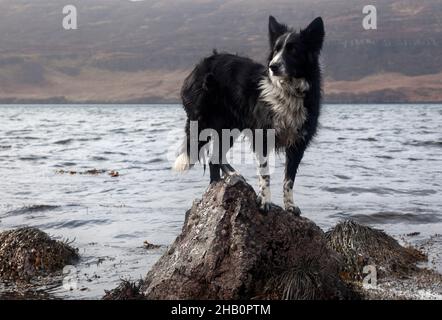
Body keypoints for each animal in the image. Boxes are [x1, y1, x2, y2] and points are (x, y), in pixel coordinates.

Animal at [174, 16, 324, 218]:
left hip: (230, 127)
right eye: (276, 50)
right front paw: (265, 202)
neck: (288, 90)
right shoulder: (263, 136)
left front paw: (290, 206)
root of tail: (198, 67)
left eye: (293, 50)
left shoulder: (298, 143)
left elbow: (289, 179)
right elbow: (265, 173)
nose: (273, 66)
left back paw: (222, 182)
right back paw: (226, 181)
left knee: (215, 157)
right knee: (213, 155)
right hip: (206, 123)